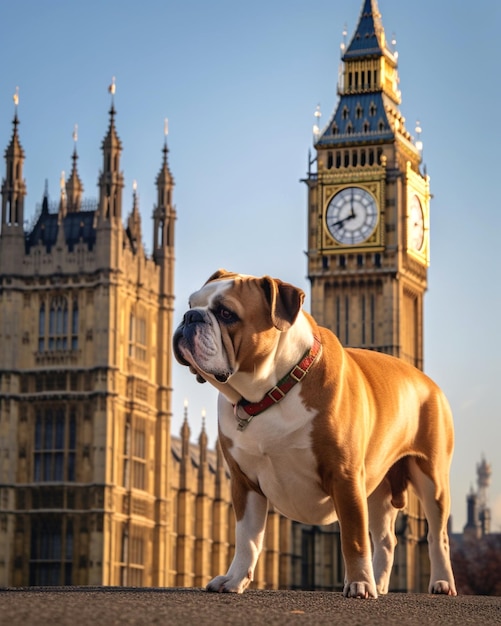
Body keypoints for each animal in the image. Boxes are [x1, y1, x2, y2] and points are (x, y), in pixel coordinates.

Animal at [173, 266, 458, 596]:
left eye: (226, 313)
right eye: (191, 304)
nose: (190, 317)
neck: (268, 394)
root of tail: (425, 379)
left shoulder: (345, 476)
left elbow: (353, 538)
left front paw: (359, 583)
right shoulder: (244, 482)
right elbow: (247, 539)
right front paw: (234, 580)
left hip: (432, 479)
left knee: (437, 536)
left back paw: (439, 582)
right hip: (378, 487)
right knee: (387, 539)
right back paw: (381, 583)